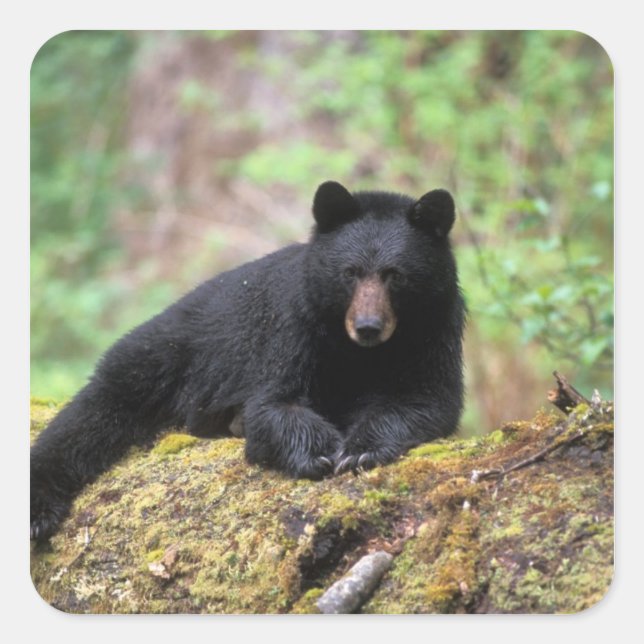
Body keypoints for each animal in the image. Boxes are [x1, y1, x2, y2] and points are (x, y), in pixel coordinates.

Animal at [30, 181, 465, 541]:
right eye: (350, 272)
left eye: (395, 275)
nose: (369, 327)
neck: (358, 352)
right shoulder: (293, 327)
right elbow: (273, 402)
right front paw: (318, 451)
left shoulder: (435, 330)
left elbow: (426, 398)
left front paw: (362, 449)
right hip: (162, 356)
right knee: (89, 416)